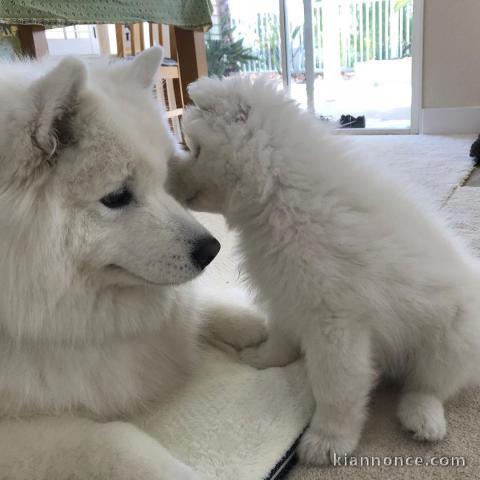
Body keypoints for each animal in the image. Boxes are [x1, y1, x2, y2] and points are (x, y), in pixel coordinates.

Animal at [0, 49, 262, 480]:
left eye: (164, 181)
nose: (212, 249)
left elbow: (195, 304)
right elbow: (109, 441)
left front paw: (256, 321)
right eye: (117, 197)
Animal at [168, 77, 480, 466]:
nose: (167, 179)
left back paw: (422, 418)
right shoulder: (284, 292)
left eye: (194, 149)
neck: (278, 194)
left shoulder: (336, 321)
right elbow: (281, 336)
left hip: (454, 339)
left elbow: (335, 386)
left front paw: (328, 441)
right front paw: (265, 358)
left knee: (428, 385)